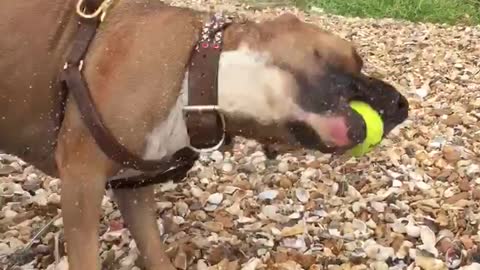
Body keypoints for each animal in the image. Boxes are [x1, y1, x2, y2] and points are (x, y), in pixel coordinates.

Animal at [0, 0, 408, 268]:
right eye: (353, 61)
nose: (402, 104)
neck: (196, 75)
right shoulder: (82, 185)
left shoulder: (133, 186)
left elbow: (153, 250)